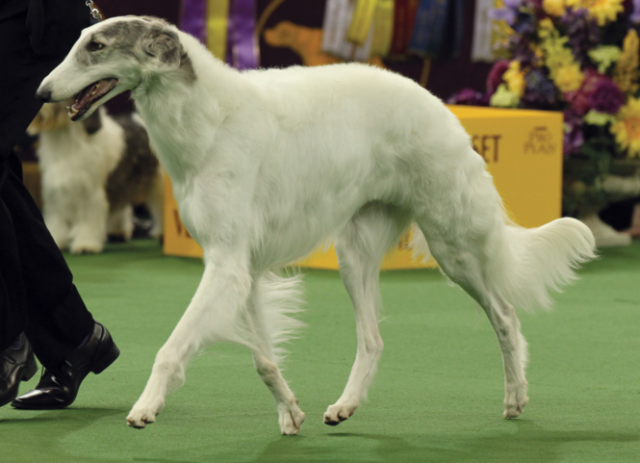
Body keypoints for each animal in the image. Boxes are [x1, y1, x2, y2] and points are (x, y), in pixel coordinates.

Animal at [27, 102, 162, 254]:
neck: (64, 136)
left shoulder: (89, 192)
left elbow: (88, 219)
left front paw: (86, 244)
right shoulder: (55, 191)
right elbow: (57, 220)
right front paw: (56, 240)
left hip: (157, 184)